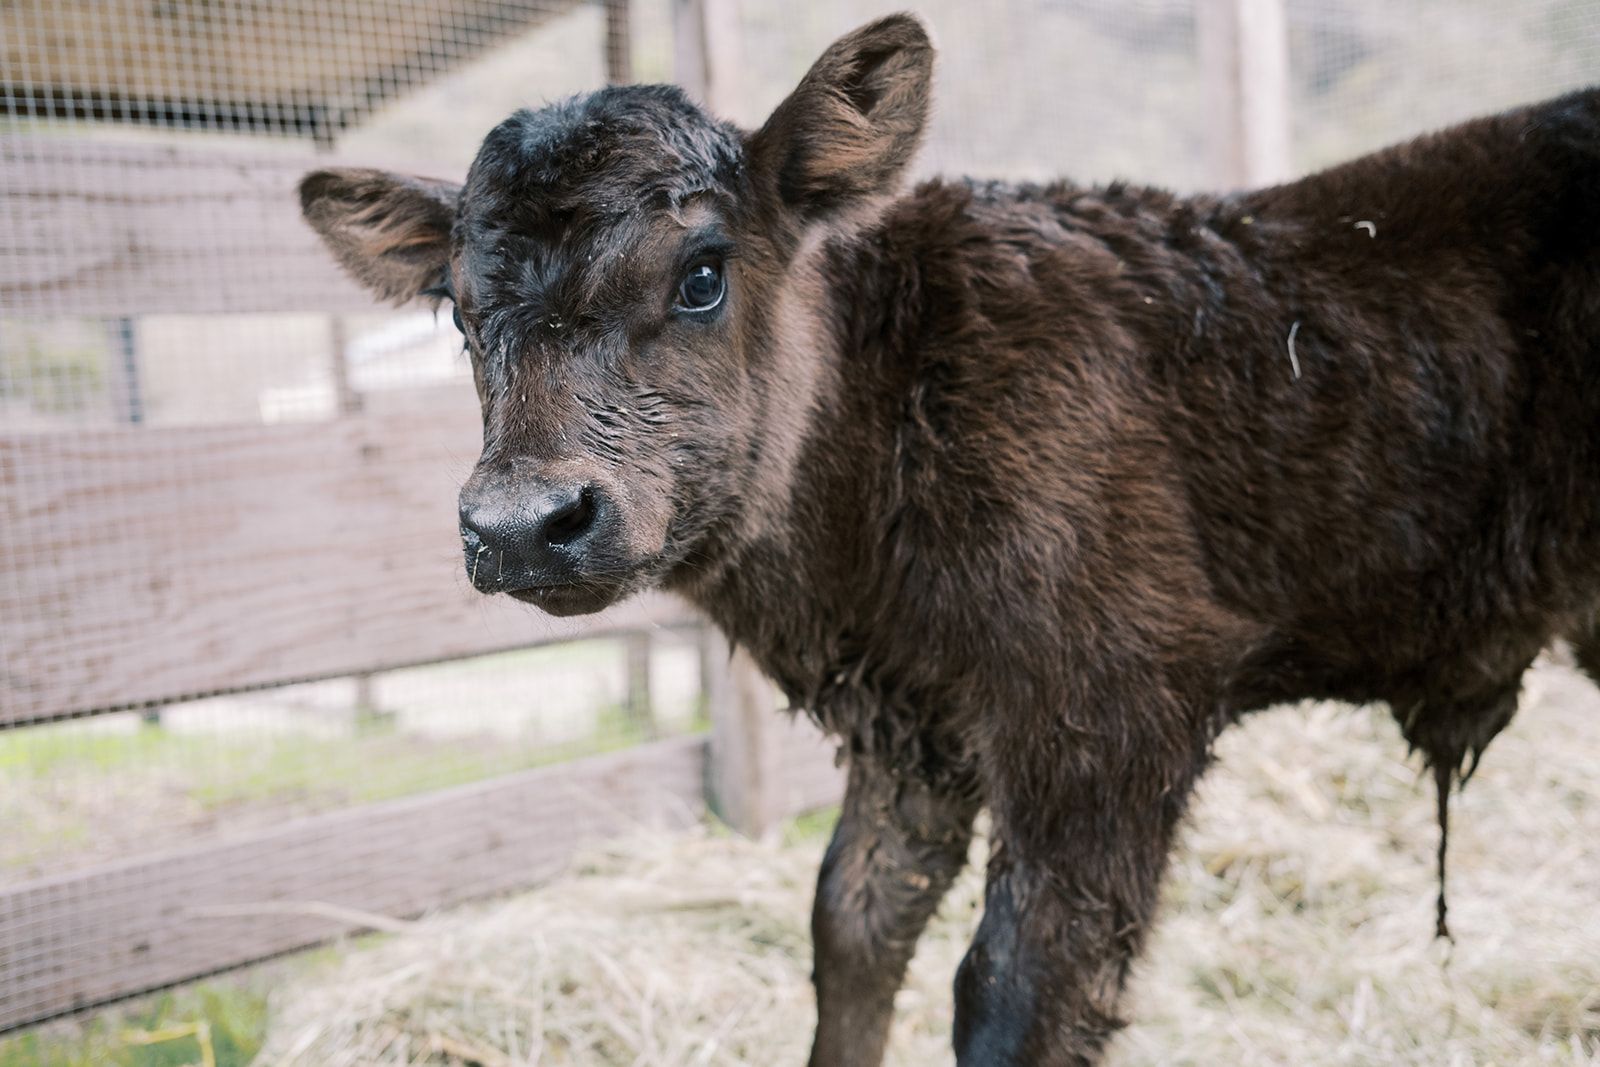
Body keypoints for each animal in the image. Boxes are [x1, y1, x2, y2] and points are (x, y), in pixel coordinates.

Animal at [300, 14, 1600, 1065]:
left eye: (702, 272)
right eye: (459, 312)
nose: (524, 524)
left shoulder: (1110, 713)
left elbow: (1010, 992)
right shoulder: (910, 725)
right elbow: (850, 929)